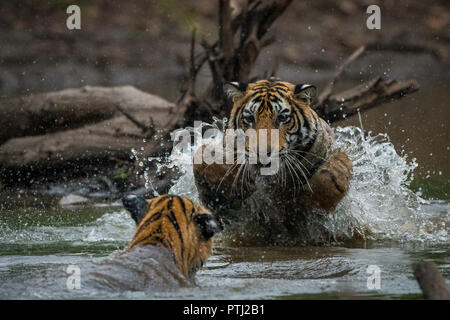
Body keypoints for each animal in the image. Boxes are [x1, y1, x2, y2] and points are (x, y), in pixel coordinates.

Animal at [192, 79, 352, 244]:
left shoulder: (334, 150)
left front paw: (315, 204)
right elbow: (201, 158)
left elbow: (336, 173)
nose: (262, 153)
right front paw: (242, 184)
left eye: (281, 118)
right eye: (250, 118)